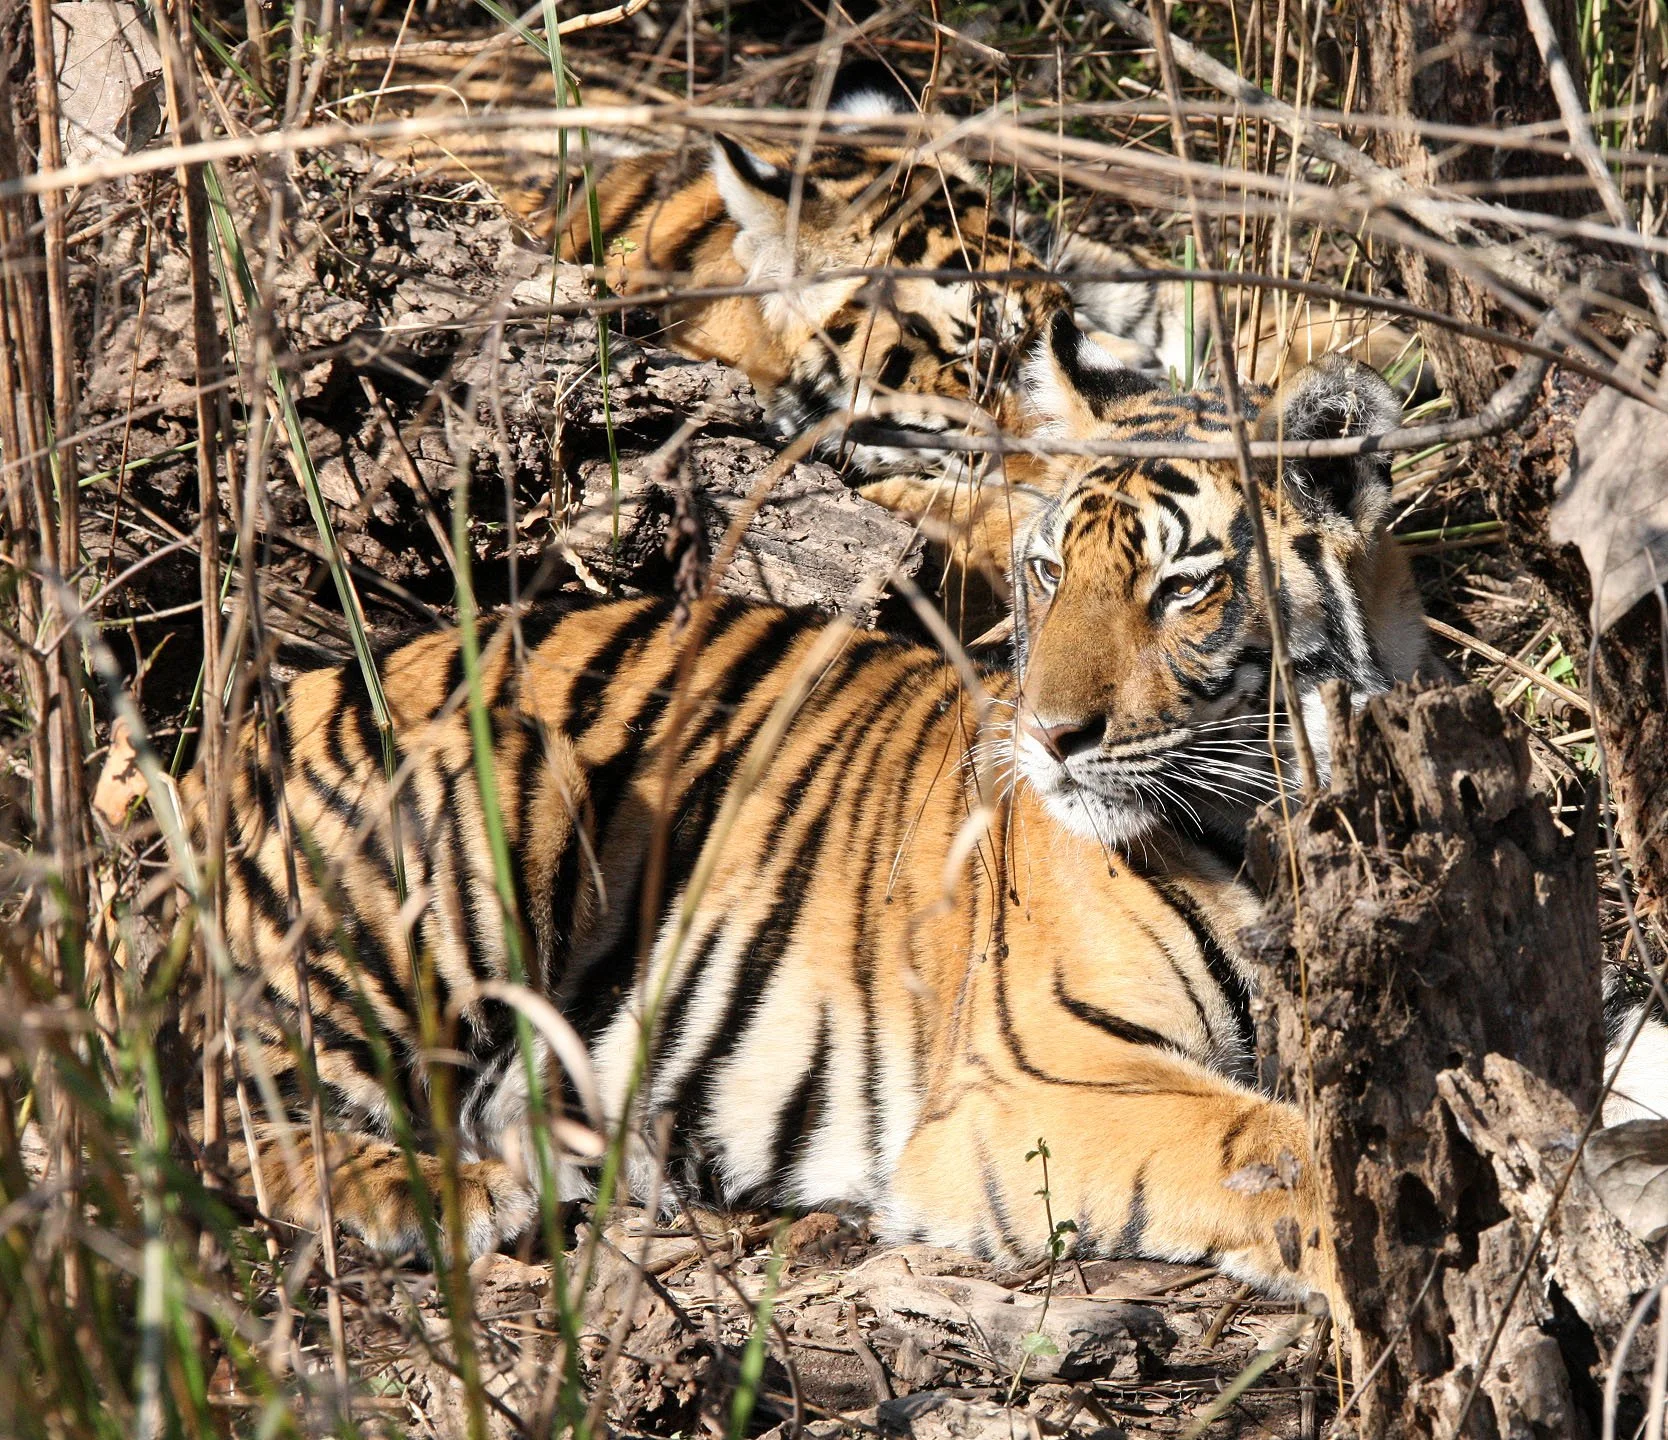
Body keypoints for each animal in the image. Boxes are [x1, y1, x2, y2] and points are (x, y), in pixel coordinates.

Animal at [185, 347, 1432, 1308]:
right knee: (218, 1104)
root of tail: (238, 727)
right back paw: (430, 1195)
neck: (1276, 818)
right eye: (1046, 571)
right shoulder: (1037, 1073)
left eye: (1184, 588)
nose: (1048, 736)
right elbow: (1273, 1148)